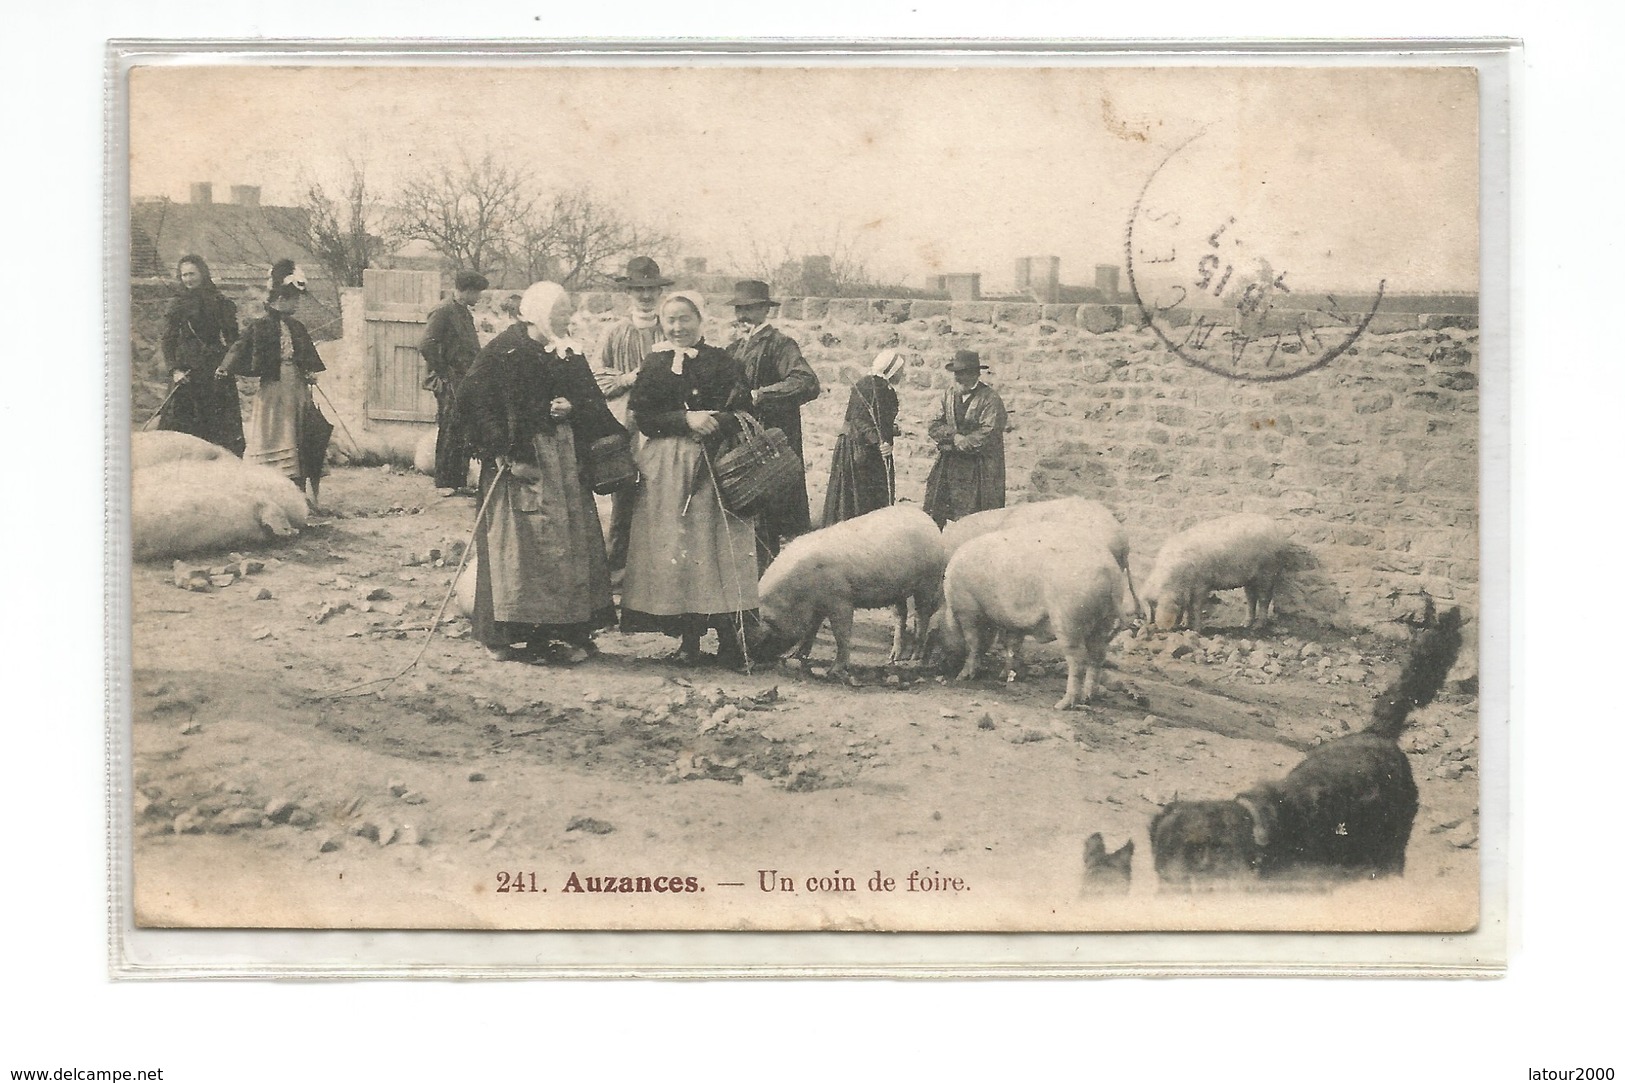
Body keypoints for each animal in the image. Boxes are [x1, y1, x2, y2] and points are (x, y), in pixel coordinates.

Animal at [750, 504, 949, 676]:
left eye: (768, 631)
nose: (754, 659)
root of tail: (926, 519)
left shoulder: (841, 599)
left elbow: (841, 634)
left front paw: (834, 671)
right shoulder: (819, 604)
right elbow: (811, 629)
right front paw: (795, 655)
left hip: (927, 581)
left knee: (922, 615)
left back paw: (915, 657)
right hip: (897, 590)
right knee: (901, 615)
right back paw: (893, 657)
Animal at [942, 523, 1131, 708]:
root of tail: (1108, 570)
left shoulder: (967, 609)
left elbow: (974, 643)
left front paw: (963, 676)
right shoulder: (1013, 621)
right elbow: (1012, 646)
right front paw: (1005, 676)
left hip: (1068, 618)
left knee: (1077, 660)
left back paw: (1062, 704)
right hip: (1105, 619)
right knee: (1098, 655)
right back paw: (1088, 698)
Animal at [1137, 513, 1287, 634]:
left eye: (1157, 605)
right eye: (1151, 607)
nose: (1161, 628)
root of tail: (1275, 526)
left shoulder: (1202, 584)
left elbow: (1196, 607)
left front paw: (1196, 630)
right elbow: (1187, 607)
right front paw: (1185, 624)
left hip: (1267, 571)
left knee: (1264, 599)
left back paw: (1258, 626)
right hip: (1250, 578)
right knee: (1251, 598)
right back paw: (1245, 624)